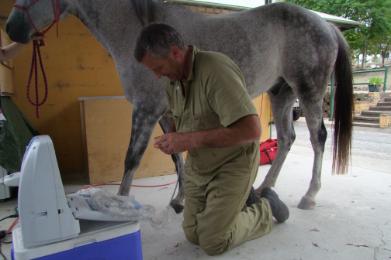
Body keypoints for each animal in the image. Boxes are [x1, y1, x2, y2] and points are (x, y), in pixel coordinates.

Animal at [5, 0, 356, 210]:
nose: (10, 29)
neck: (136, 30)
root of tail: (326, 25)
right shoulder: (164, 113)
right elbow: (175, 156)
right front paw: (182, 200)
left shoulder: (145, 109)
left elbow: (131, 159)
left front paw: (121, 205)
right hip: (281, 93)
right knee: (286, 139)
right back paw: (264, 189)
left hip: (309, 90)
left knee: (318, 139)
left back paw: (309, 196)